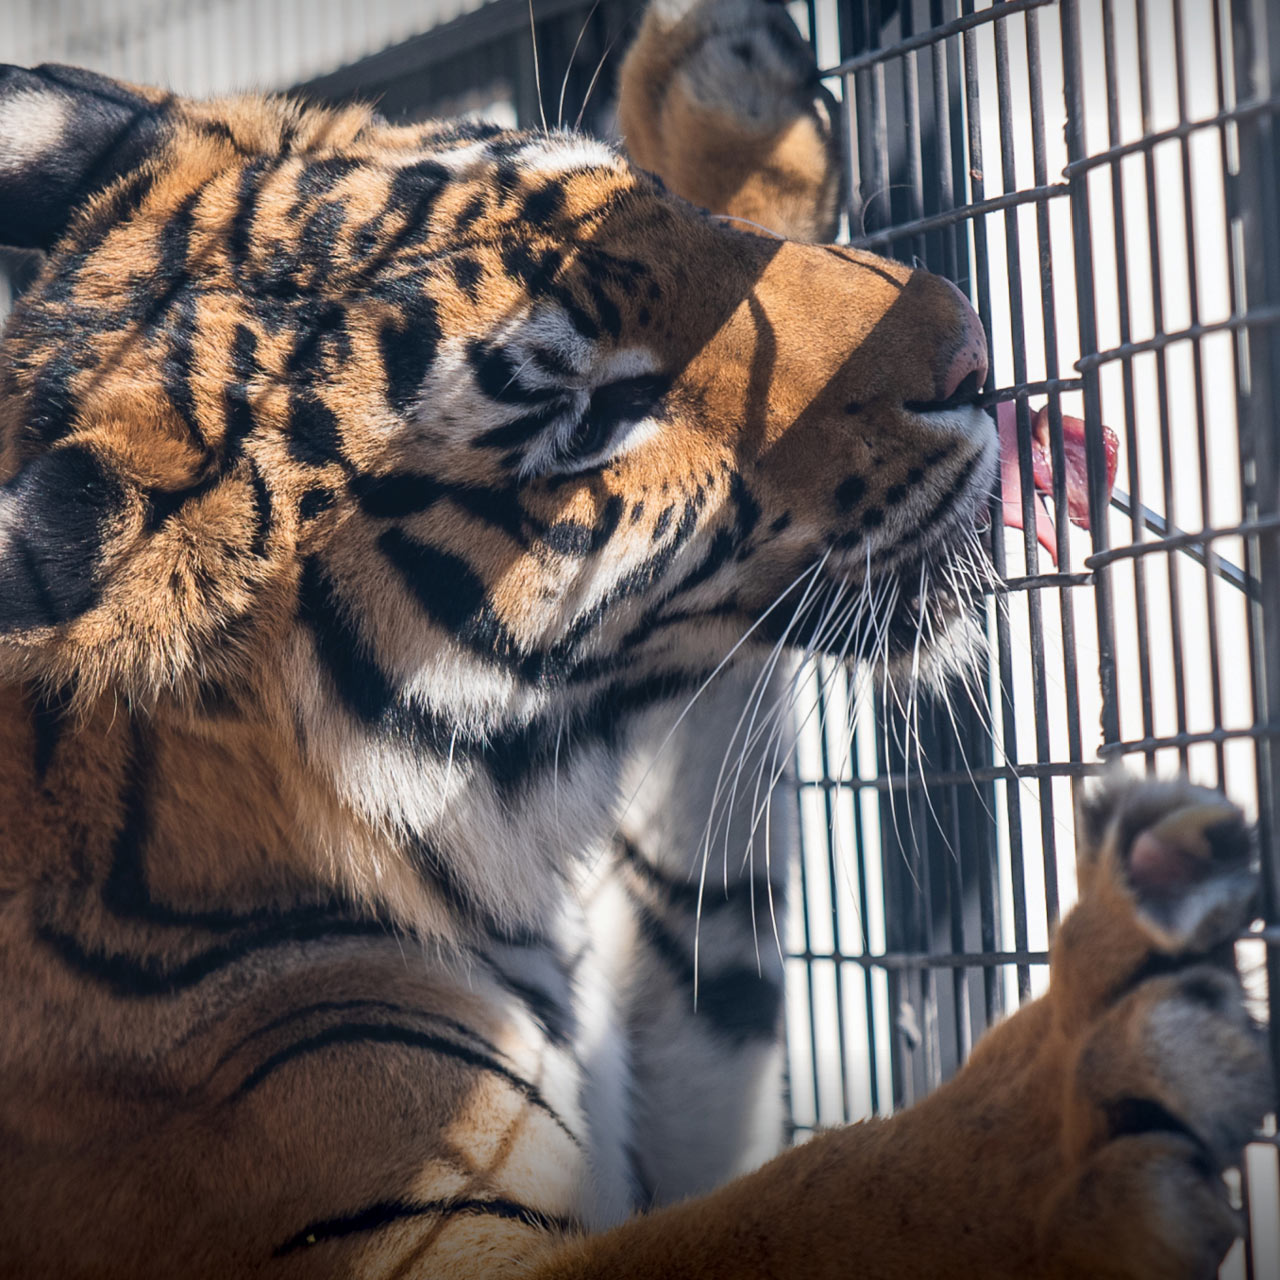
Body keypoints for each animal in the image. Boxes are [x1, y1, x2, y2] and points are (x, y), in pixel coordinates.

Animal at [0, 0, 1269, 1274]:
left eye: (639, 196)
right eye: (590, 417)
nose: (970, 346)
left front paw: (723, 101)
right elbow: (806, 1200)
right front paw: (1072, 1086)